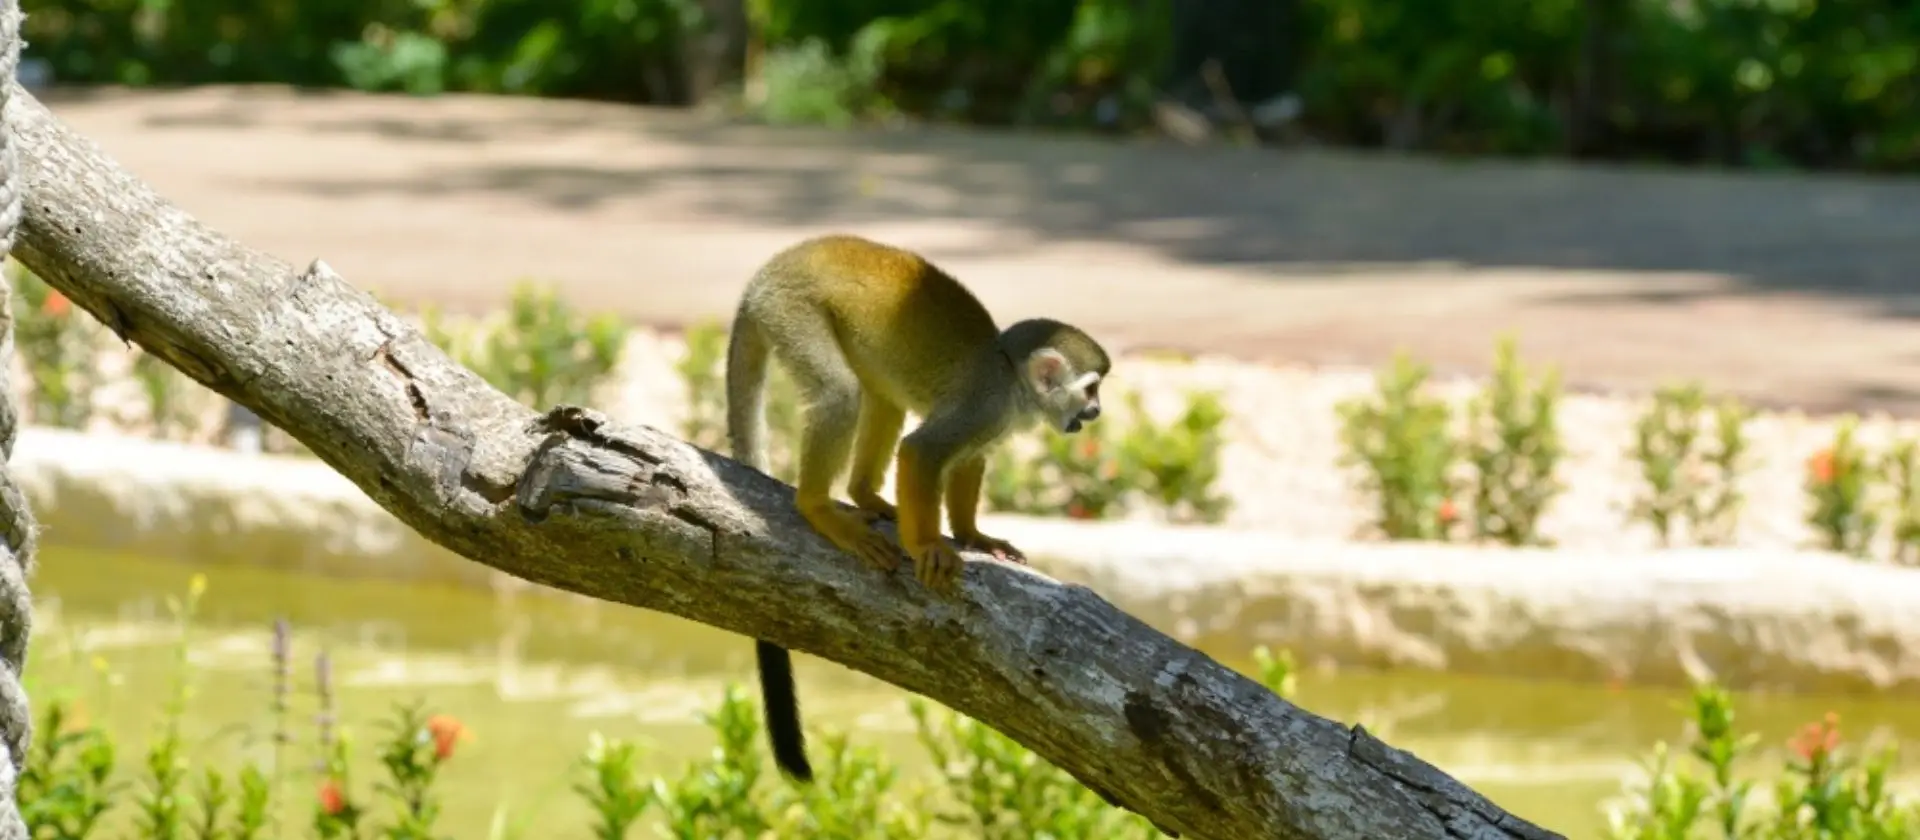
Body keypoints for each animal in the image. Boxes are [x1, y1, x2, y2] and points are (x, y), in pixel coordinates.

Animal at [724, 233, 1111, 783]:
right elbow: (923, 453)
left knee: (880, 394)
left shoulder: (992, 420)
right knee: (841, 394)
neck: (1011, 381)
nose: (1096, 412)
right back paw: (818, 507)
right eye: (1091, 389)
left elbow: (968, 459)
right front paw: (928, 544)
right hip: (792, 308)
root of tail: (771, 269)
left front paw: (974, 536)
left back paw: (863, 493)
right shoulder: (983, 404)